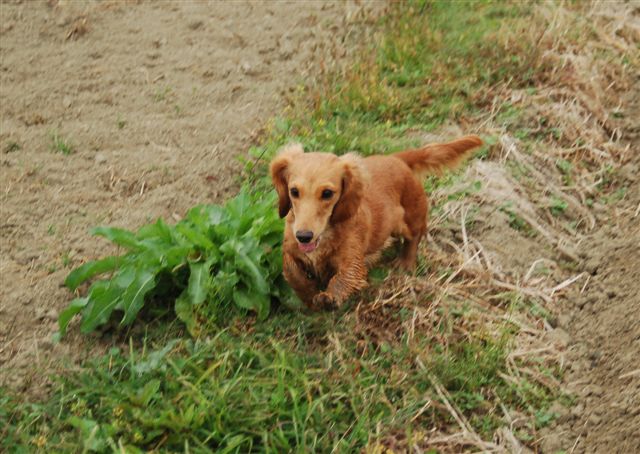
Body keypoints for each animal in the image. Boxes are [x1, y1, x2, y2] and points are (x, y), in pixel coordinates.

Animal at [268, 135, 482, 310]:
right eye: (294, 191)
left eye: (327, 193)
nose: (304, 236)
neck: (326, 233)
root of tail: (397, 159)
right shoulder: (290, 250)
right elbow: (292, 272)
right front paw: (308, 294)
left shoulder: (353, 263)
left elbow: (342, 279)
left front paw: (329, 298)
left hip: (407, 220)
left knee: (414, 237)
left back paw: (405, 262)